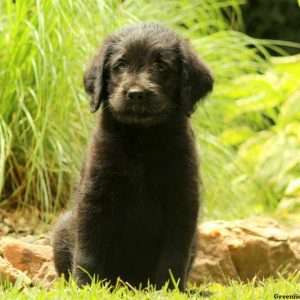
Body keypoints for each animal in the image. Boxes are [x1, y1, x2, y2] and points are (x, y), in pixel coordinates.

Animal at [52, 21, 213, 290]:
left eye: (161, 66)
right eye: (120, 65)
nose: (136, 93)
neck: (141, 140)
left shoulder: (182, 200)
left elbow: (174, 254)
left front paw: (169, 289)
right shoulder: (94, 197)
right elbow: (87, 250)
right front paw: (86, 286)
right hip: (62, 229)